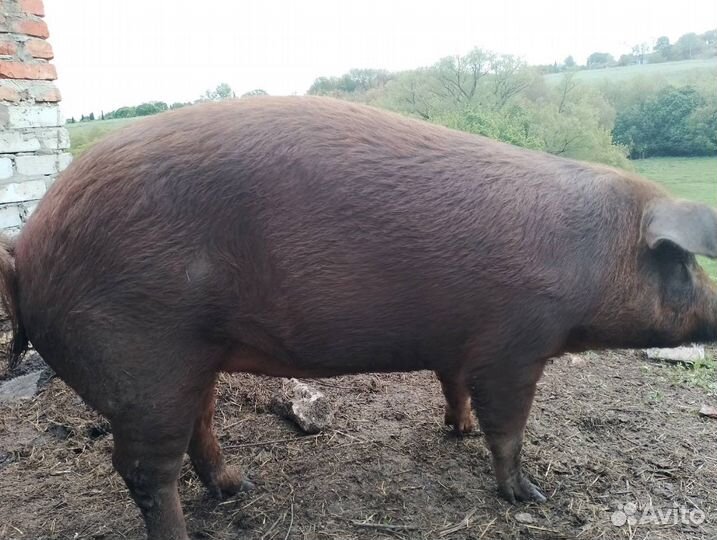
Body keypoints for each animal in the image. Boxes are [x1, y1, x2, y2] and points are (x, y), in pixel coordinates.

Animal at [1, 96, 716, 540]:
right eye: (683, 263)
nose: (714, 313)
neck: (593, 255)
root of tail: (26, 246)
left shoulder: (459, 341)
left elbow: (453, 387)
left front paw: (455, 432)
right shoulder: (515, 344)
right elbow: (507, 424)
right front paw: (531, 498)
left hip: (189, 362)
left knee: (197, 433)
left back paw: (239, 486)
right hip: (141, 363)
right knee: (145, 470)